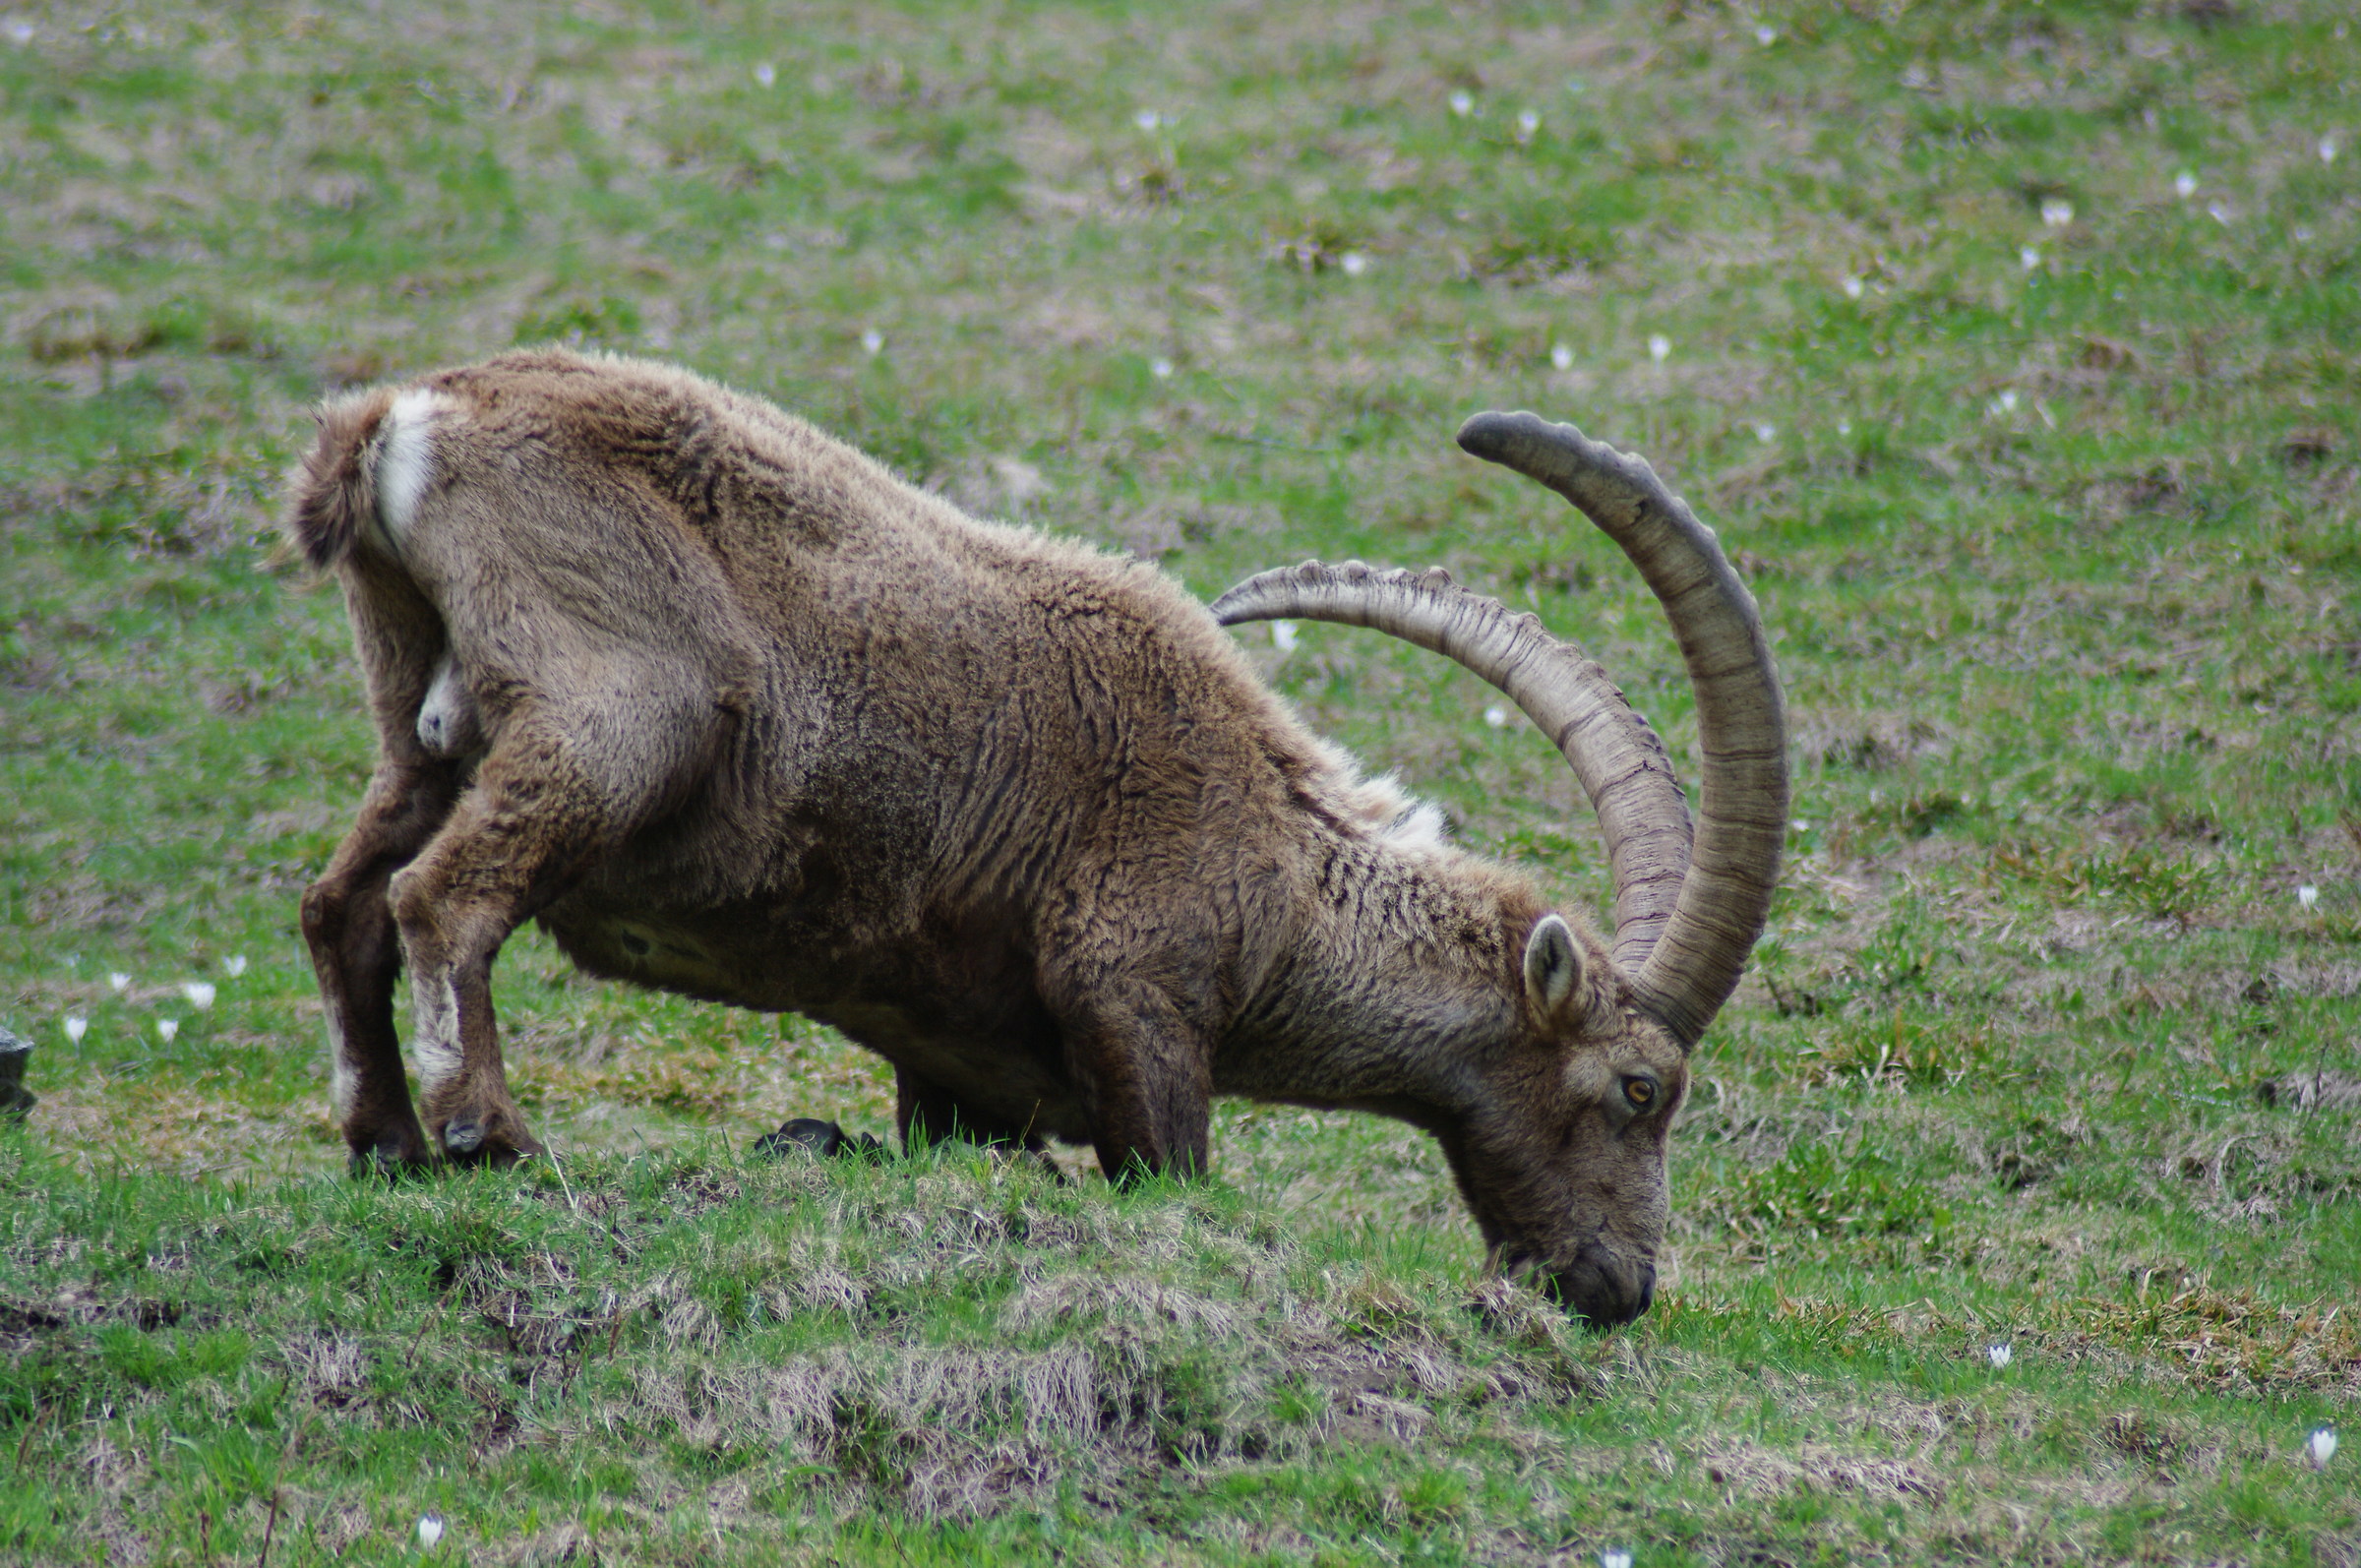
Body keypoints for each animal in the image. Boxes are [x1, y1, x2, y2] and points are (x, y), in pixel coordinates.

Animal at [282, 349, 1785, 1325]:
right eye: (1640, 1088)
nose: (1618, 1288)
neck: (1281, 870)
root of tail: (404, 424)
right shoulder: (1137, 995)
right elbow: (1169, 1170)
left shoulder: (957, 1069)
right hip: (616, 716)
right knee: (444, 900)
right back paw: (489, 1133)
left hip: (420, 708)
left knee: (343, 903)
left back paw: (385, 1140)